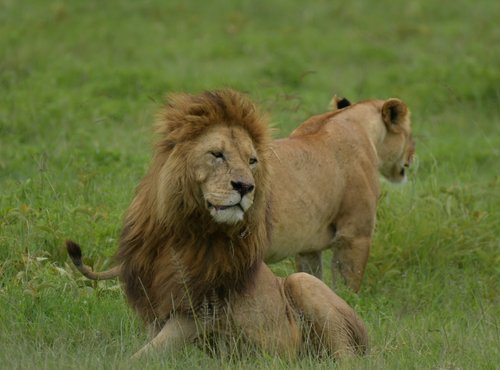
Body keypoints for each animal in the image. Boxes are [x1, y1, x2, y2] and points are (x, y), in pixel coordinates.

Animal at [65, 89, 368, 358]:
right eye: (217, 154)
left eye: (252, 160)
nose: (245, 187)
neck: (183, 231)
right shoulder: (157, 305)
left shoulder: (200, 310)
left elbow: (144, 355)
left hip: (304, 284)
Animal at [266, 96, 414, 292]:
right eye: (409, 134)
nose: (413, 155)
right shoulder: (355, 234)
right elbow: (348, 286)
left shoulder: (308, 246)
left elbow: (313, 276)